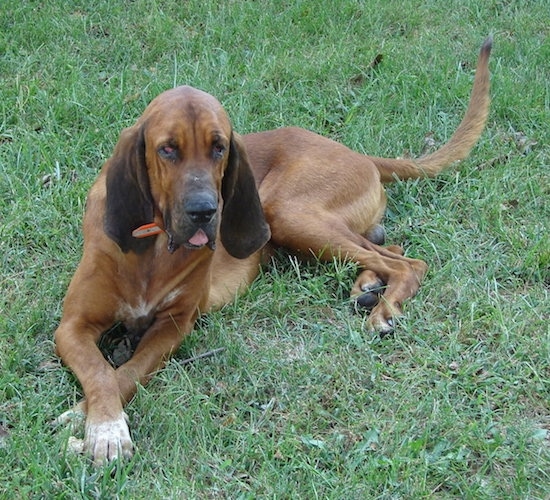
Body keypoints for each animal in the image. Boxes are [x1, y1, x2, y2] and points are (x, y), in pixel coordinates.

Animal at [54, 37, 494, 462]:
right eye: (167, 149)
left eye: (219, 148)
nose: (204, 211)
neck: (156, 248)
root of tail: (357, 153)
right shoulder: (73, 326)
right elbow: (100, 370)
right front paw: (102, 424)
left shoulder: (175, 325)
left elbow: (126, 372)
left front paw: (94, 422)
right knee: (392, 246)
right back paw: (368, 287)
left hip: (288, 214)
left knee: (409, 263)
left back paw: (384, 308)